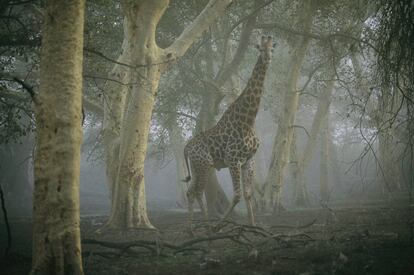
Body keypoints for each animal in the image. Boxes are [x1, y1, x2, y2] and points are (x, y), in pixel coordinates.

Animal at [183, 35, 274, 229]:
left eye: (272, 48)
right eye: (260, 48)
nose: (268, 59)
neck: (247, 120)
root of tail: (186, 147)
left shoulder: (249, 160)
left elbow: (247, 194)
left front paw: (252, 226)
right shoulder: (233, 160)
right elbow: (237, 195)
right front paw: (219, 225)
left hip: (196, 166)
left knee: (190, 192)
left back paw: (191, 228)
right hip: (205, 164)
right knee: (198, 191)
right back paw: (207, 226)